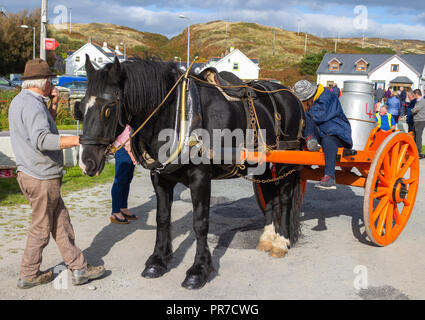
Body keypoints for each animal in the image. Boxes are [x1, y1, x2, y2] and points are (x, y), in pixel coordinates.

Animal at [75, 55, 304, 290]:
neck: (177, 112)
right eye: (80, 108)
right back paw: (267, 237)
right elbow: (162, 218)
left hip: (286, 163)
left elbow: (200, 223)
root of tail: (289, 94)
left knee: (285, 199)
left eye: (108, 109)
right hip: (263, 165)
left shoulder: (200, 179)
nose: (86, 162)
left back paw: (281, 241)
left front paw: (199, 269)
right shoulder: (160, 178)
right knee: (269, 197)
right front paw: (158, 260)